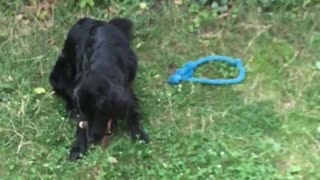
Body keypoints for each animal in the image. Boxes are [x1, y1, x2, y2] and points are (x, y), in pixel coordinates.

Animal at [49, 17, 150, 160]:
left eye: (100, 112)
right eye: (86, 113)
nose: (91, 139)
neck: (104, 61)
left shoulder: (128, 86)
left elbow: (131, 110)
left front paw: (138, 133)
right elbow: (81, 122)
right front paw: (78, 146)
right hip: (57, 76)